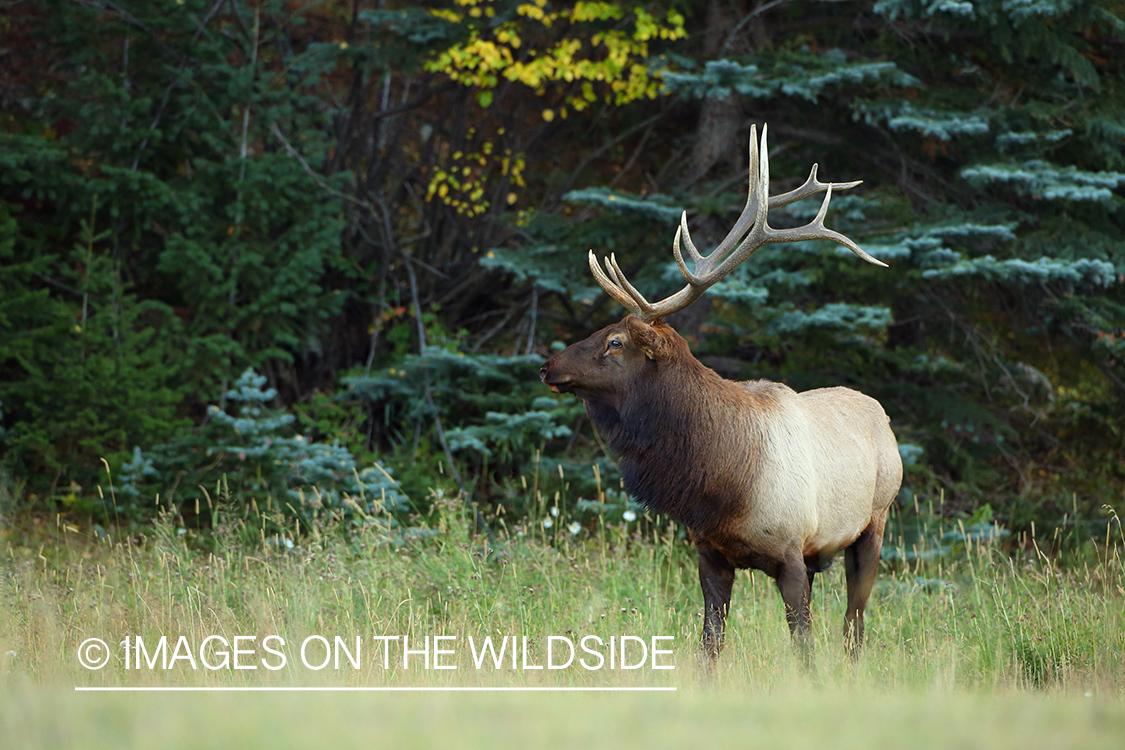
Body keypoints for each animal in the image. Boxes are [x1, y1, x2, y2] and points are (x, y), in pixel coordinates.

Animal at [539, 125, 903, 669]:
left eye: (615, 342)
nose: (547, 366)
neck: (723, 487)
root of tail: (881, 415)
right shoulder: (710, 554)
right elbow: (710, 643)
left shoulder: (791, 552)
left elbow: (803, 645)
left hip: (873, 522)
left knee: (854, 623)